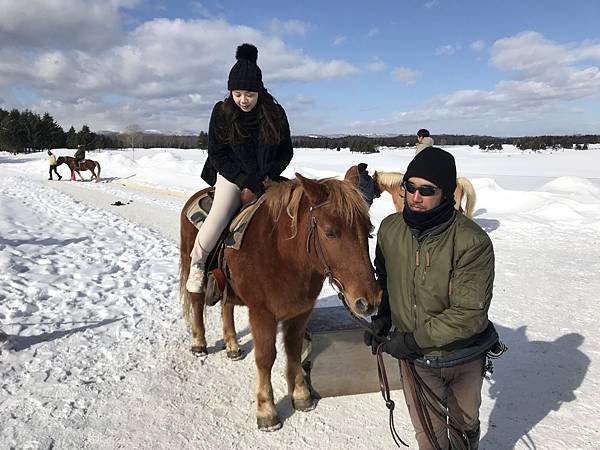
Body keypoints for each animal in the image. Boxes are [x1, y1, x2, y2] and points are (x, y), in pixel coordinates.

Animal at [180, 171, 382, 428]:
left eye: (369, 230)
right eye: (330, 232)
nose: (369, 299)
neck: (281, 253)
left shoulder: (301, 313)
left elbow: (294, 351)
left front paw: (301, 396)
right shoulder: (262, 314)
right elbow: (266, 357)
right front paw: (267, 411)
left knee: (227, 307)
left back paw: (233, 346)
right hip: (192, 264)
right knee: (196, 302)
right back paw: (199, 343)